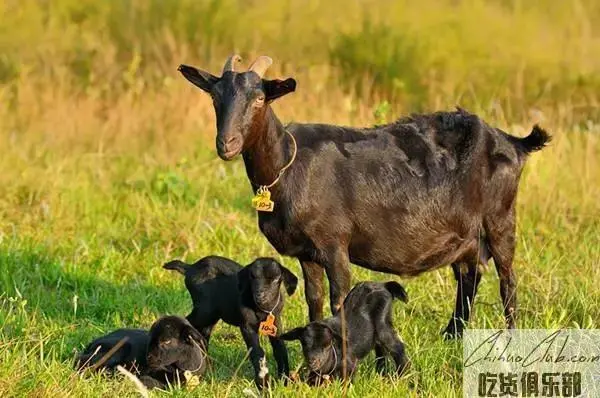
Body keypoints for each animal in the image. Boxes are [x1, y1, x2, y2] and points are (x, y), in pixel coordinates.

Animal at [164, 256, 298, 388]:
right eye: (252, 277)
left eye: (275, 279)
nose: (260, 295)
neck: (262, 310)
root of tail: (190, 268)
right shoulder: (247, 325)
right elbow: (257, 352)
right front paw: (263, 383)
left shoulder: (276, 322)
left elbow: (280, 350)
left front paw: (284, 381)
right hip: (205, 310)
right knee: (188, 322)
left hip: (211, 315)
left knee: (203, 333)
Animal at [176, 54, 552, 338]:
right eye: (215, 97)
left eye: (259, 99)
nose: (226, 144)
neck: (287, 164)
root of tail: (512, 142)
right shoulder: (307, 252)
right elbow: (314, 299)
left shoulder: (334, 242)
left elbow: (338, 299)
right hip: (465, 235)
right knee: (469, 276)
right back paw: (452, 334)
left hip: (501, 219)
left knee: (507, 280)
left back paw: (509, 338)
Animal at [280, 282, 408, 384]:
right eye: (304, 344)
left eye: (327, 345)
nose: (313, 361)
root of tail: (384, 285)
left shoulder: (350, 363)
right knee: (381, 350)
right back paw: (381, 373)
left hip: (382, 324)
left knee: (397, 346)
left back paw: (402, 374)